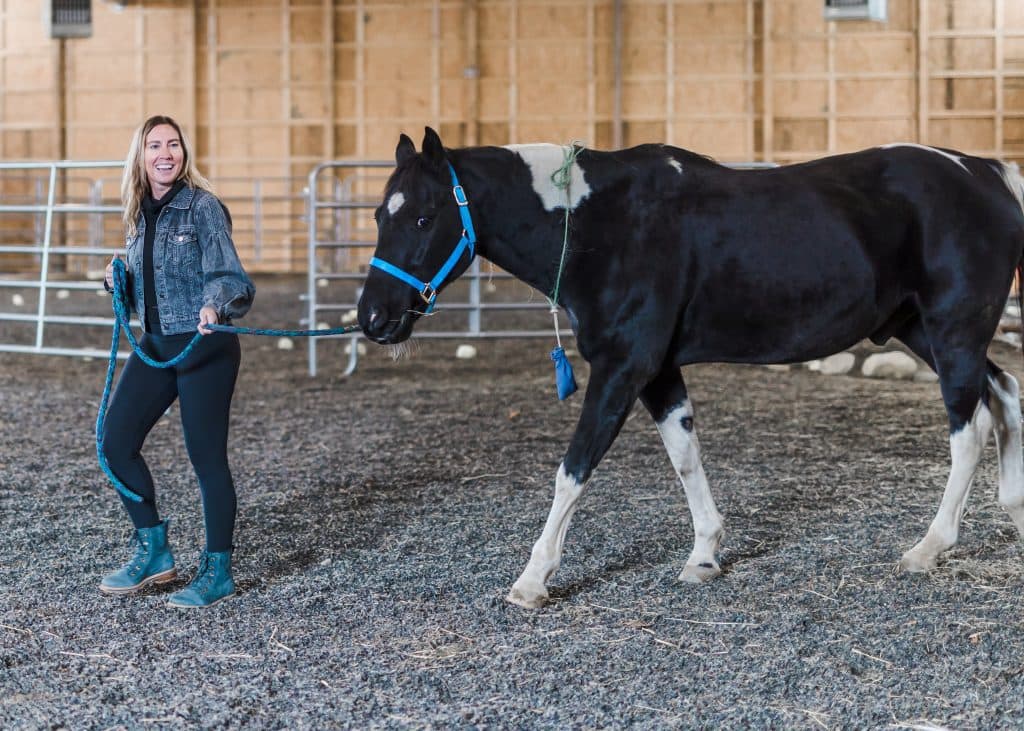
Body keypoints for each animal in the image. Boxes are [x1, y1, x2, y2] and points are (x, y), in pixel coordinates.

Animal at [357, 127, 1024, 609]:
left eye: (423, 217)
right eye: (379, 216)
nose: (373, 318)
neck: (603, 225)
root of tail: (987, 173)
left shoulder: (623, 366)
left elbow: (573, 469)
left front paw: (532, 579)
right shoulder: (657, 373)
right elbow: (685, 456)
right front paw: (704, 555)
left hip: (953, 332)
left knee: (970, 429)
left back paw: (928, 548)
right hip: (925, 332)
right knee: (1005, 394)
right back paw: (1013, 514)